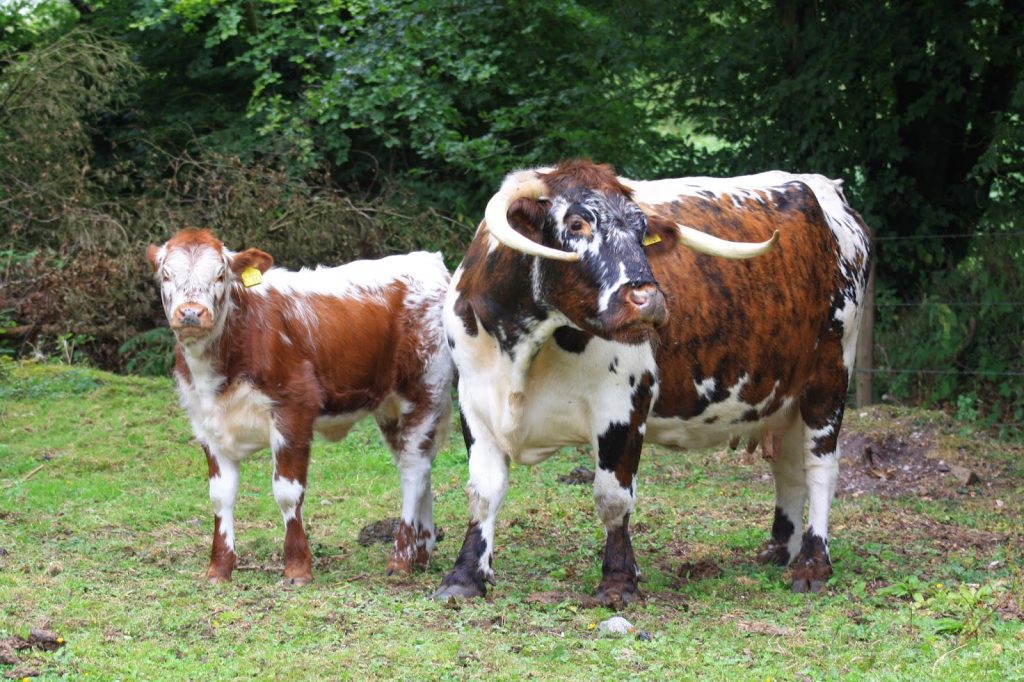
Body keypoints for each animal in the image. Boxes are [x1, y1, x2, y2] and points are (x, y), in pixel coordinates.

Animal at [148, 228, 452, 577]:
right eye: (165, 275)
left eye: (221, 274)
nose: (191, 313)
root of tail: (428, 260)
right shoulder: (207, 424)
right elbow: (219, 496)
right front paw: (219, 568)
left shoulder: (293, 411)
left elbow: (287, 493)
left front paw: (296, 567)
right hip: (390, 406)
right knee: (420, 466)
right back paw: (422, 552)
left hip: (424, 389)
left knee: (413, 471)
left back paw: (400, 559)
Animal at [432, 157, 872, 602]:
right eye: (577, 223)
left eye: (642, 232)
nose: (649, 300)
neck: (523, 346)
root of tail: (826, 189)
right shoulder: (474, 402)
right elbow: (483, 492)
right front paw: (464, 575)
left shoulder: (623, 406)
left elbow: (613, 498)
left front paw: (618, 580)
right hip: (783, 396)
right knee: (788, 467)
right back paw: (782, 550)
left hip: (830, 376)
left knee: (819, 467)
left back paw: (813, 564)